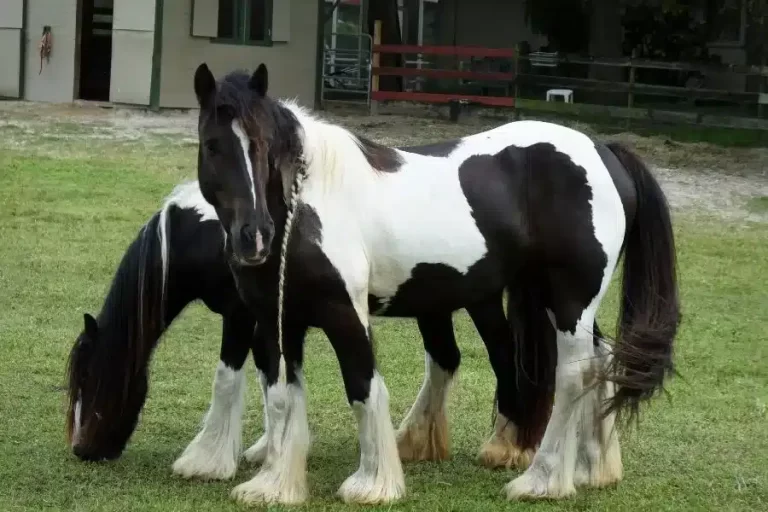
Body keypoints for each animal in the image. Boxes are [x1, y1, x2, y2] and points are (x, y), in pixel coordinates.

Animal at [63, 183, 548, 480]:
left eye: (91, 378)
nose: (82, 449)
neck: (207, 232)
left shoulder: (240, 317)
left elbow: (229, 378)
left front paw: (210, 459)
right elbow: (270, 379)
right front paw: (268, 449)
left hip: (480, 302)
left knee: (505, 360)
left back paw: (508, 448)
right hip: (434, 306)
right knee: (446, 361)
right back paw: (411, 442)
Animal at [190, 61, 680, 504]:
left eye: (263, 146)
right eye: (212, 146)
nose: (254, 236)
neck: (307, 205)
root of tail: (604, 151)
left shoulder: (345, 314)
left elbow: (362, 387)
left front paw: (373, 484)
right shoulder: (277, 322)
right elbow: (281, 397)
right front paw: (273, 485)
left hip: (569, 300)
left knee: (574, 376)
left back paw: (541, 481)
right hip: (556, 300)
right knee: (601, 361)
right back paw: (593, 469)